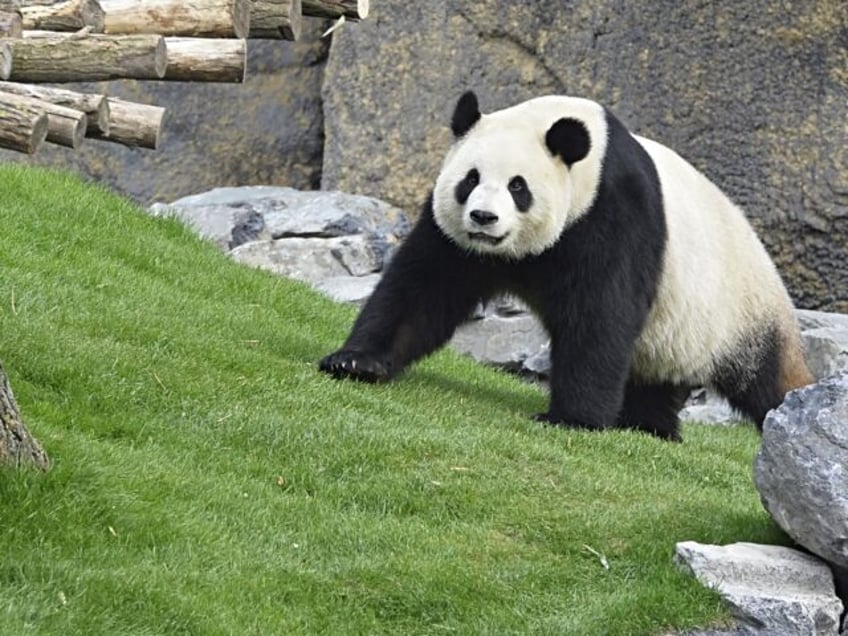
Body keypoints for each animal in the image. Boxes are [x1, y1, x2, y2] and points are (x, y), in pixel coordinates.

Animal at [320, 92, 816, 442]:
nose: (483, 218)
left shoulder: (613, 212)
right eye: (470, 179)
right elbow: (423, 288)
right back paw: (650, 427)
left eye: (518, 187)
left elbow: (600, 315)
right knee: (657, 377)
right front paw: (356, 362)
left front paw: (570, 419)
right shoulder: (455, 237)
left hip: (740, 311)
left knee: (770, 380)